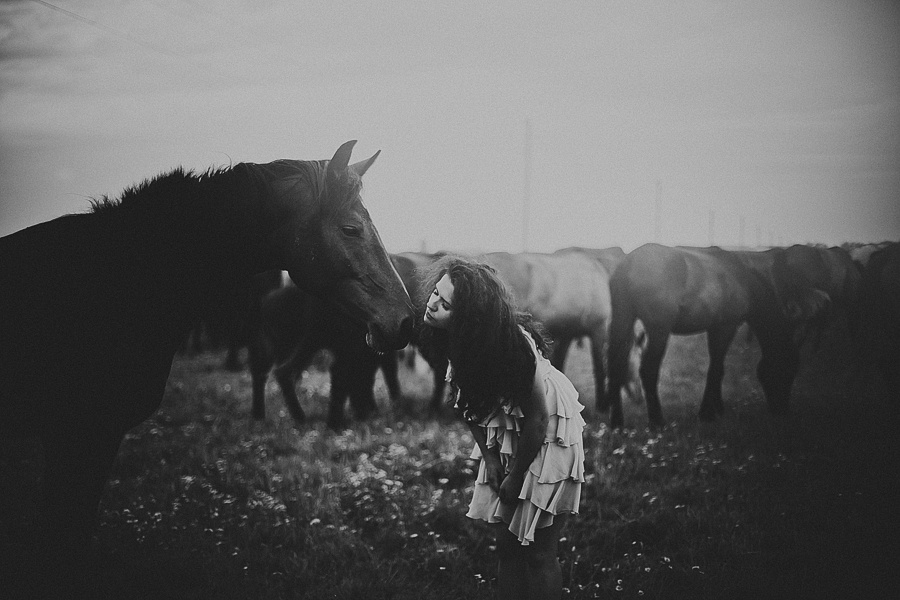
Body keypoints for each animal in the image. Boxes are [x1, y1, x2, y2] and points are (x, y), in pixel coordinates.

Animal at [248, 280, 401, 430]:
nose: (368, 413)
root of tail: (267, 301)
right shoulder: (350, 354)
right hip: (306, 343)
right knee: (283, 372)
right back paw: (300, 418)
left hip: (279, 346)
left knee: (262, 372)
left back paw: (260, 417)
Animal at [604, 243, 830, 429]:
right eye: (786, 370)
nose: (781, 411)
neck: (743, 278)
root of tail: (629, 264)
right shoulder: (725, 326)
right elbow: (716, 369)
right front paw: (707, 413)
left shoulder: (715, 328)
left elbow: (717, 368)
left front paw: (717, 408)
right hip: (659, 330)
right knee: (648, 370)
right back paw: (657, 421)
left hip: (622, 321)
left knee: (616, 364)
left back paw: (617, 422)